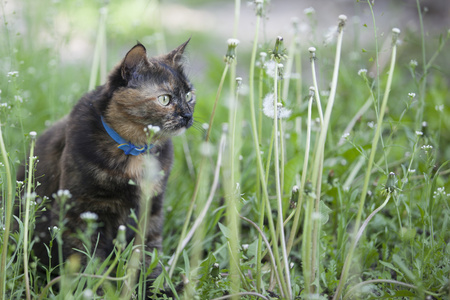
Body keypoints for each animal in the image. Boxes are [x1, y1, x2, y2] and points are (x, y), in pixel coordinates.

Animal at [16, 39, 195, 292]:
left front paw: (155, 290)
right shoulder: (80, 212)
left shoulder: (151, 210)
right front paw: (92, 292)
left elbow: (148, 255)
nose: (188, 116)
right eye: (165, 99)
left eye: (189, 95)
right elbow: (87, 263)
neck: (134, 151)